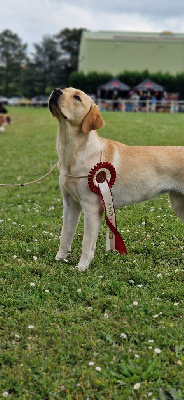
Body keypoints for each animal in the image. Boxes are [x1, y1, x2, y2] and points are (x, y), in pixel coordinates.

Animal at [48, 86, 183, 270]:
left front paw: (82, 266)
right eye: (64, 89)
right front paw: (60, 258)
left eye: (77, 97)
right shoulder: (70, 204)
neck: (71, 150)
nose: (56, 91)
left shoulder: (91, 207)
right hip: (178, 204)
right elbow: (65, 235)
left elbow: (86, 242)